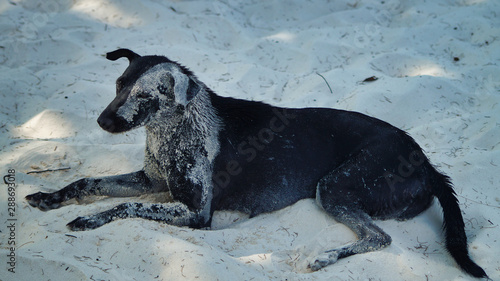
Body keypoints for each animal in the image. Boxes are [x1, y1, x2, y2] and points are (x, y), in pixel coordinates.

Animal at [24, 49, 488, 276]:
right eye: (120, 84)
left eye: (145, 94)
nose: (102, 121)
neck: (172, 130)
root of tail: (426, 162)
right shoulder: (150, 180)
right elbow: (88, 182)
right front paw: (50, 197)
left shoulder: (195, 213)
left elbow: (123, 206)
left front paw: (88, 220)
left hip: (334, 186)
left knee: (380, 238)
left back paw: (323, 258)